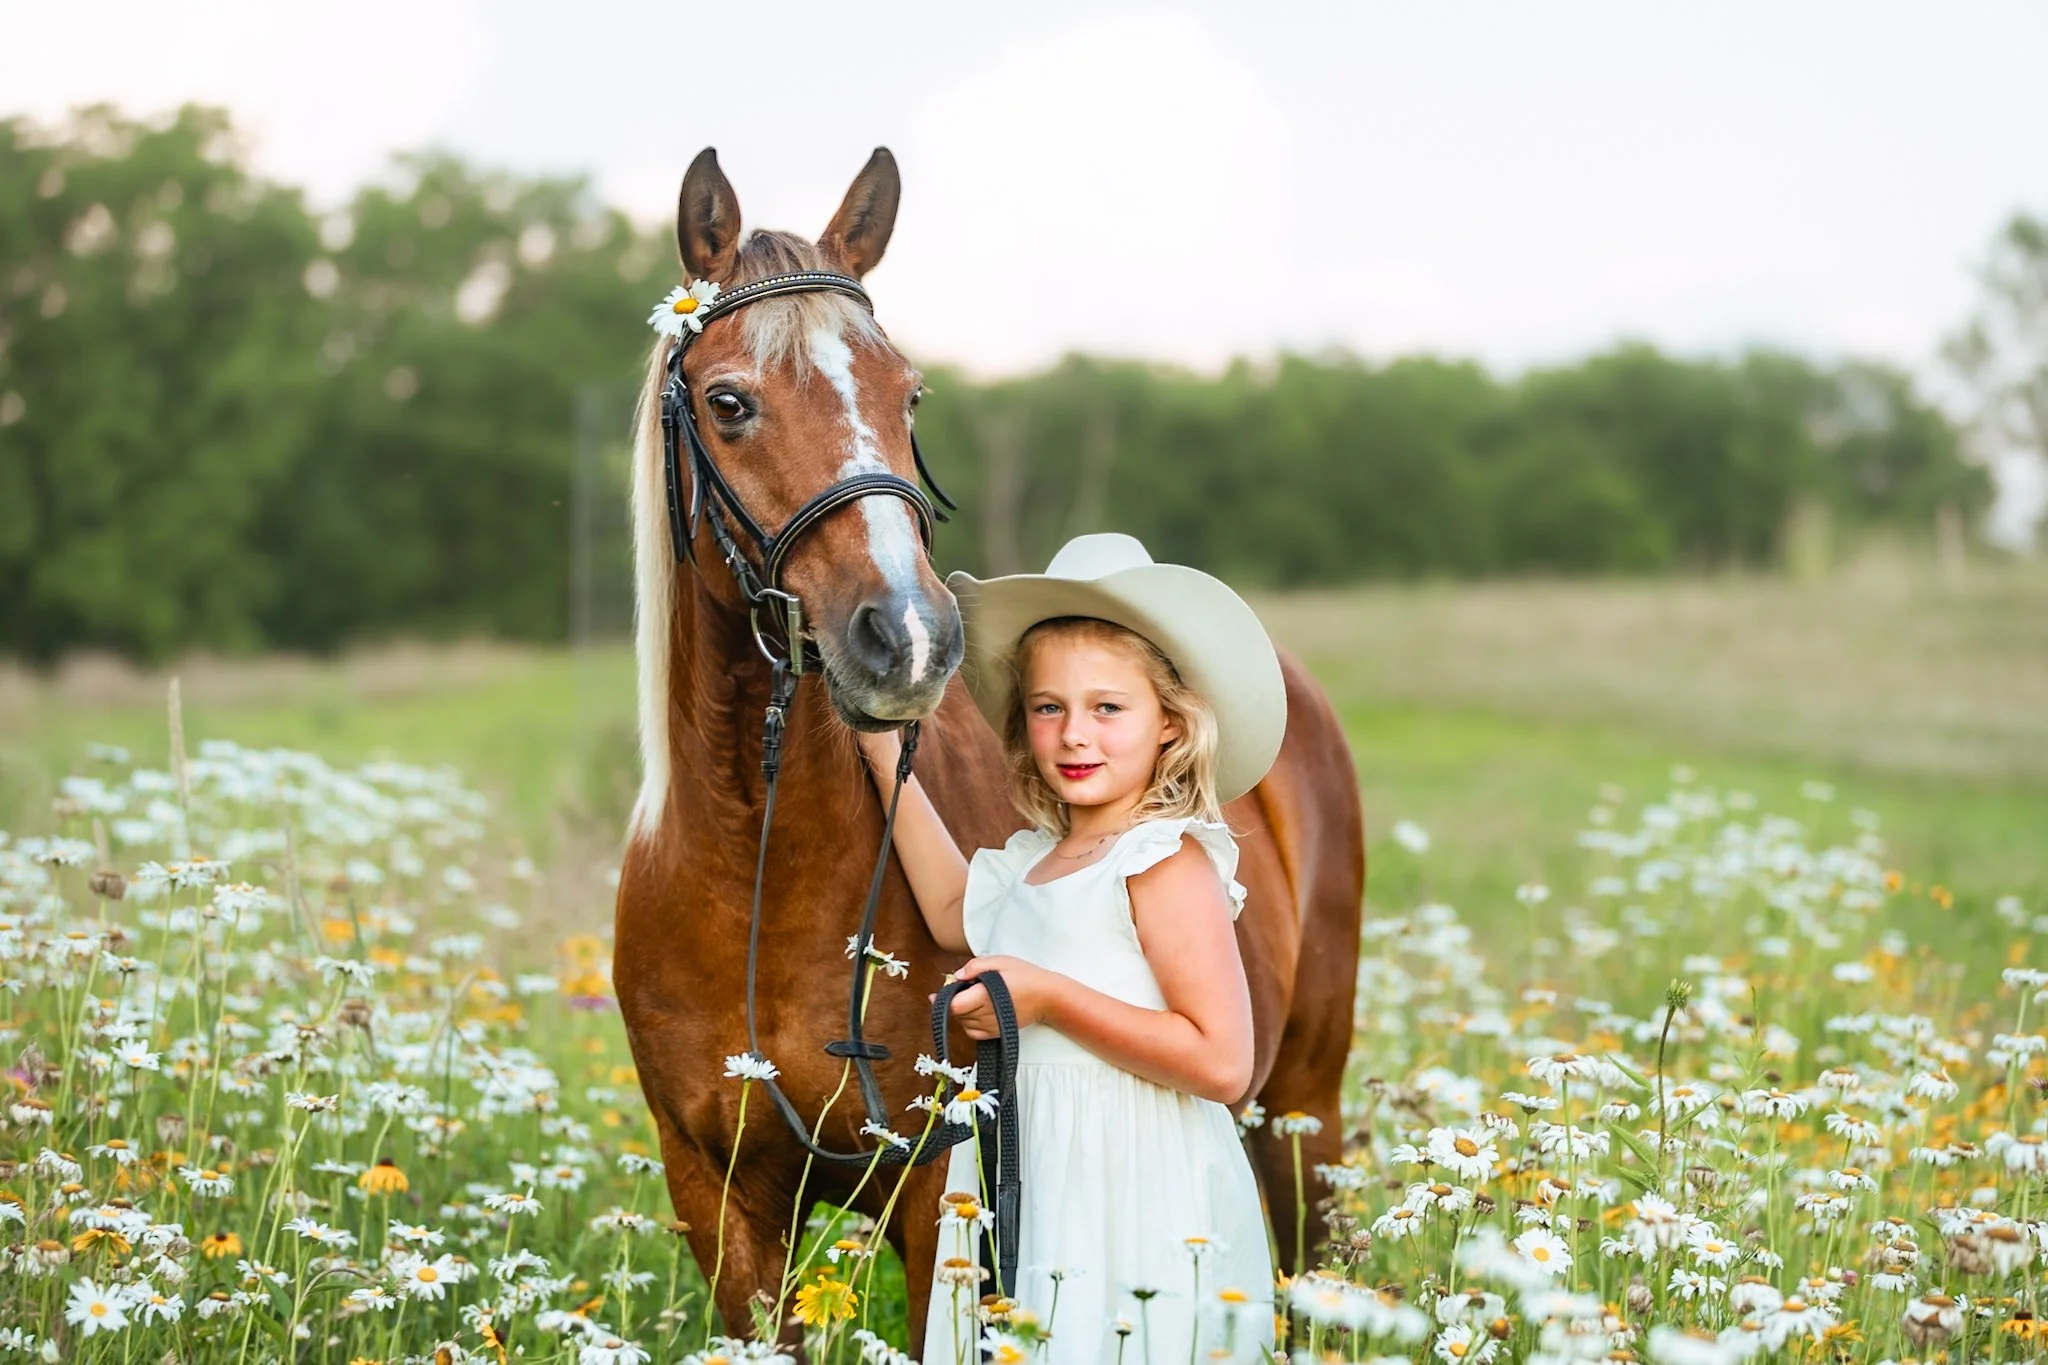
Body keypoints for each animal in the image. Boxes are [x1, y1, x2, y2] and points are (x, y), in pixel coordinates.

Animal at [612, 146, 1366, 1353]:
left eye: (907, 392)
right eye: (728, 403)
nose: (908, 637)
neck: (752, 861)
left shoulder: (943, 1188)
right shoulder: (718, 1200)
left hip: (1303, 1114)